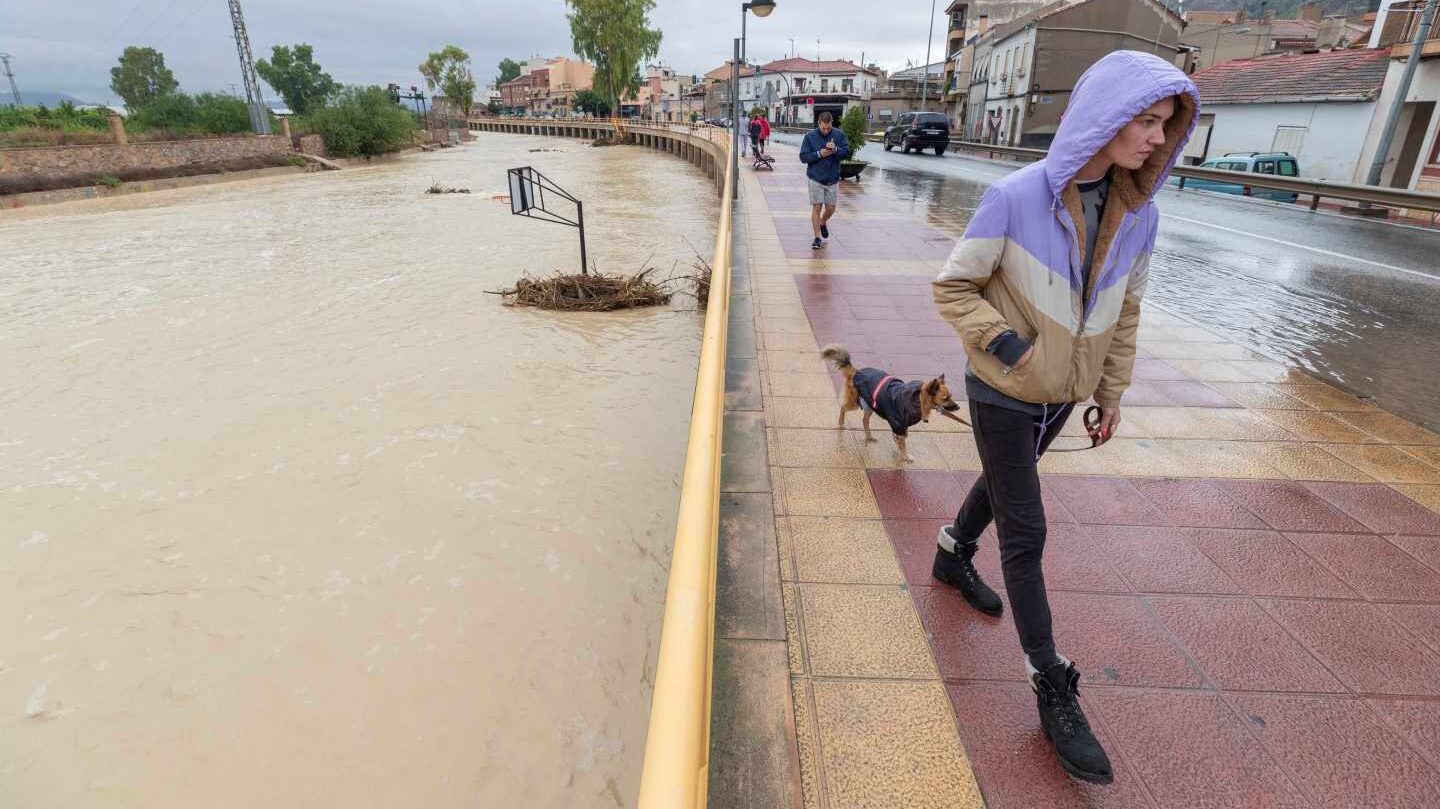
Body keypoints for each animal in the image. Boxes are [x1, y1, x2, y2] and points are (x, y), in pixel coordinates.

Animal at [823, 342, 956, 463]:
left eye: (950, 396)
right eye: (945, 398)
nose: (958, 407)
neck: (917, 399)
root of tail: (856, 372)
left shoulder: (902, 426)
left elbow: (901, 439)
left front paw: (899, 449)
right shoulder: (898, 424)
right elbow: (903, 443)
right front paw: (905, 456)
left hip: (870, 405)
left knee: (864, 420)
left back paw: (869, 436)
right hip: (854, 403)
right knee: (843, 408)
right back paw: (841, 423)